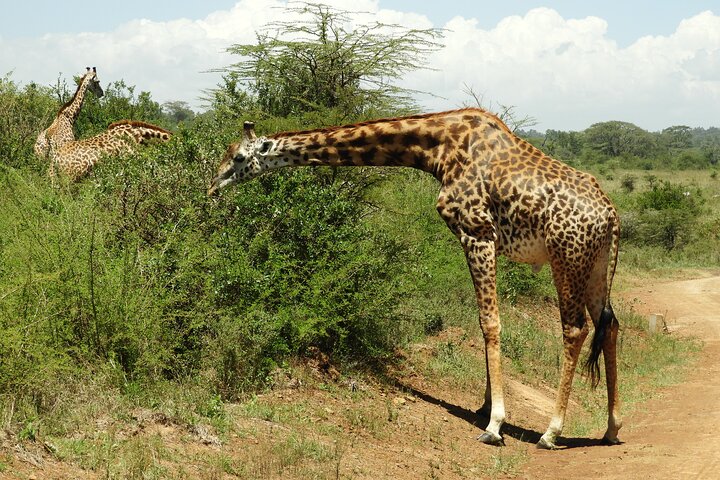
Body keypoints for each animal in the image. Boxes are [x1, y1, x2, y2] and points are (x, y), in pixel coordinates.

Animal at [208, 108, 621, 450]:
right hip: (597, 264)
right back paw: (611, 428)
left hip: (565, 258)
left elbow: (490, 322)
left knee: (575, 329)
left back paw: (551, 432)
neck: (437, 147)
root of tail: (611, 216)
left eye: (238, 158)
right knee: (611, 324)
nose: (211, 186)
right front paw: (483, 407)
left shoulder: (477, 232)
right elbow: (482, 321)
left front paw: (494, 425)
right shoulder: (476, 238)